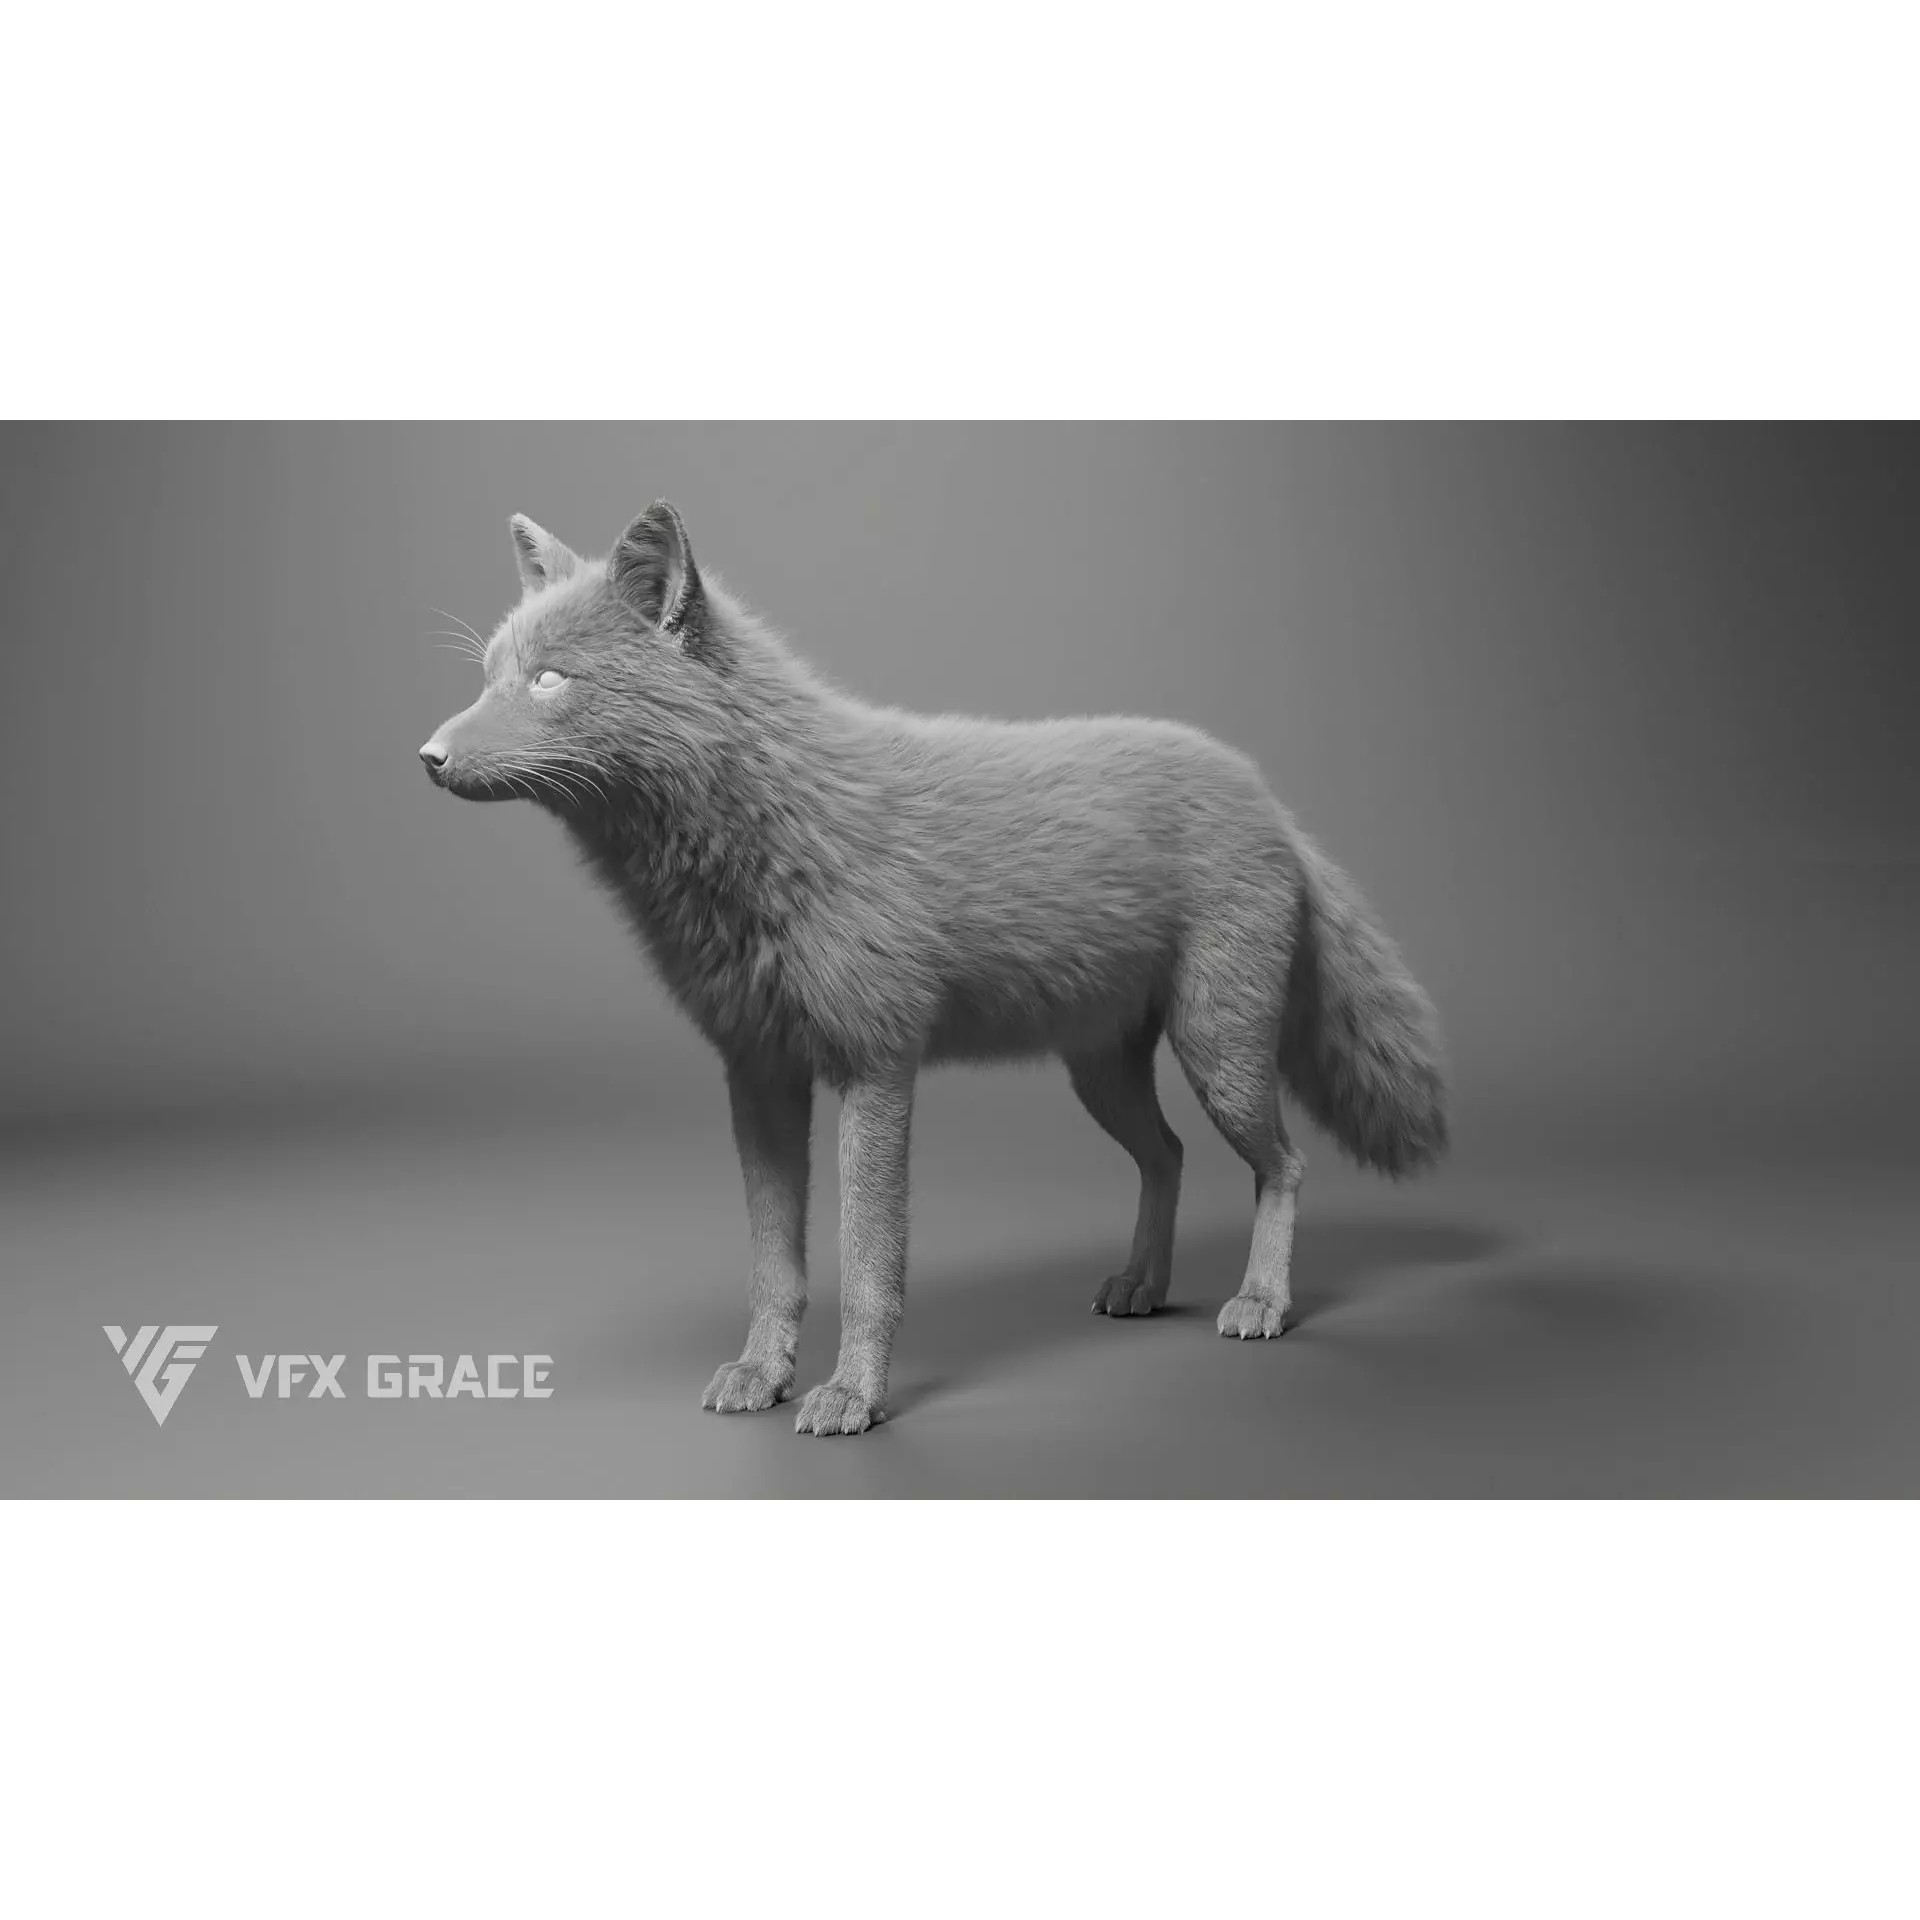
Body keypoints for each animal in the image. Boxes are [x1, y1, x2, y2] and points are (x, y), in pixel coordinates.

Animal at [420, 500, 1448, 1436]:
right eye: (489, 678)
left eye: (550, 682)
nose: (427, 756)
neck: (772, 840)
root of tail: (1270, 800)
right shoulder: (758, 1074)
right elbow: (775, 1268)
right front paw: (763, 1374)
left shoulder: (876, 1070)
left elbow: (869, 1268)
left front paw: (854, 1397)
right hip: (1102, 1075)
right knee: (1169, 1155)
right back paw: (1142, 1285)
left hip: (1219, 1056)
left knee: (1285, 1166)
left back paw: (1264, 1300)